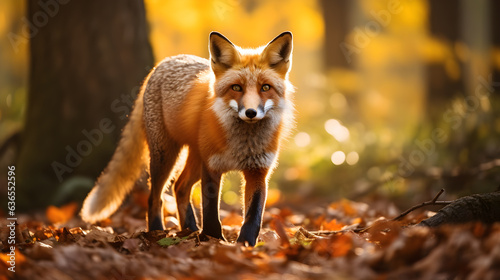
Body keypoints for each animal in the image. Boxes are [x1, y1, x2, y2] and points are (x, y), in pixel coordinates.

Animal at [80, 31, 294, 245]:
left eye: (265, 87)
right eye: (236, 88)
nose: (250, 112)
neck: (243, 144)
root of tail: (163, 63)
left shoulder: (258, 171)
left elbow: (253, 215)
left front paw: (245, 244)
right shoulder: (212, 166)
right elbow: (210, 212)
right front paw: (213, 239)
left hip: (195, 159)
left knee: (180, 186)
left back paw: (189, 229)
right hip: (166, 157)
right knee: (155, 195)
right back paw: (157, 231)